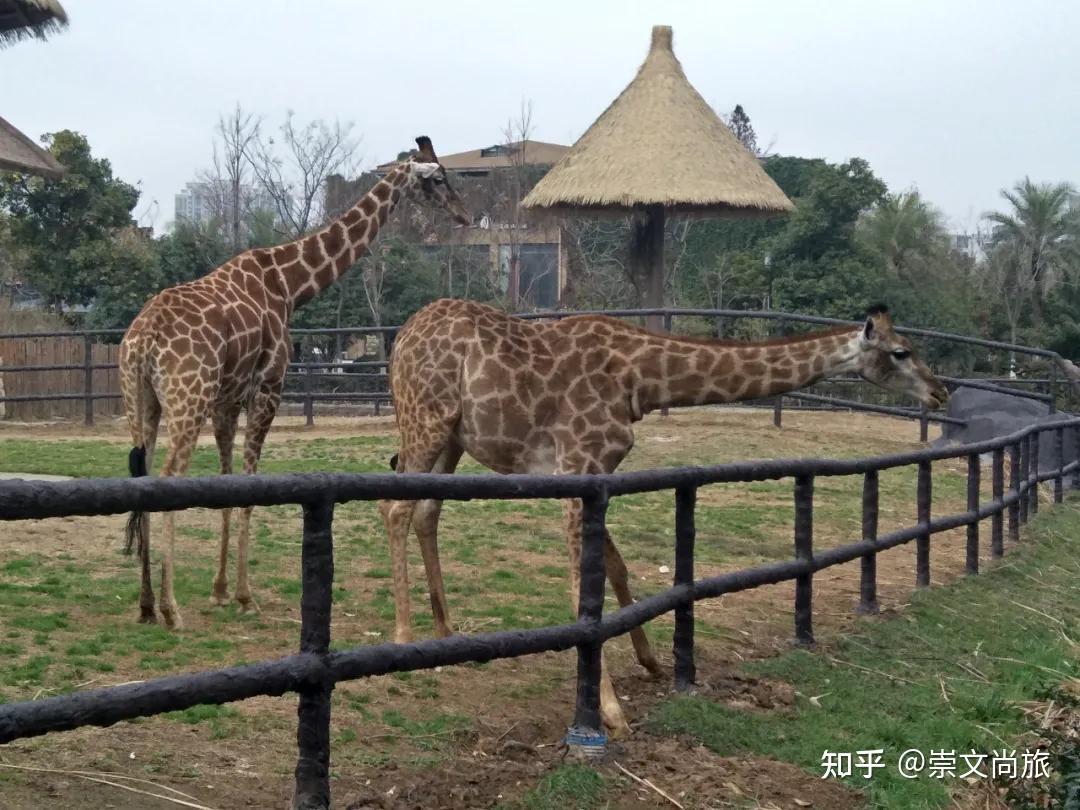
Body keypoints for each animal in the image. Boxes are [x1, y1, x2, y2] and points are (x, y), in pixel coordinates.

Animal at [120, 138, 470, 635]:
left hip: (141, 401)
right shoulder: (269, 387)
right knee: (169, 479)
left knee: (145, 476)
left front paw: (220, 590)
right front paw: (244, 596)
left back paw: (147, 603)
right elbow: (248, 488)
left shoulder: (226, 400)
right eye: (438, 179)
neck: (288, 282)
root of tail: (143, 340)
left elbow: (226, 486)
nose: (463, 215)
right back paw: (172, 609)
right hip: (187, 398)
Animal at [378, 302, 946, 738]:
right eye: (901, 351)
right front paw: (609, 712)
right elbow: (582, 590)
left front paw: (651, 662)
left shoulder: (599, 473)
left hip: (453, 437)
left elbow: (616, 567)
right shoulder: (579, 464)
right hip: (425, 419)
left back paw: (446, 632)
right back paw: (404, 635)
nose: (941, 391)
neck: (640, 378)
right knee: (395, 506)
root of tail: (400, 338)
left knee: (426, 510)